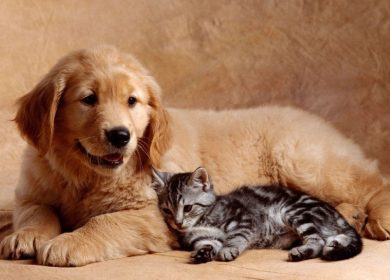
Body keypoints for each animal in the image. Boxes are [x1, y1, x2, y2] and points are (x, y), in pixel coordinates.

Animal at [152, 167, 362, 264]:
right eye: (167, 210)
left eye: (188, 207)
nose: (178, 223)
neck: (203, 220)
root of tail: (334, 212)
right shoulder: (203, 237)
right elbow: (209, 243)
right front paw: (204, 252)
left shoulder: (244, 220)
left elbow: (235, 238)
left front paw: (228, 249)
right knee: (333, 237)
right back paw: (334, 244)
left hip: (294, 211)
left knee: (317, 241)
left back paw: (303, 251)